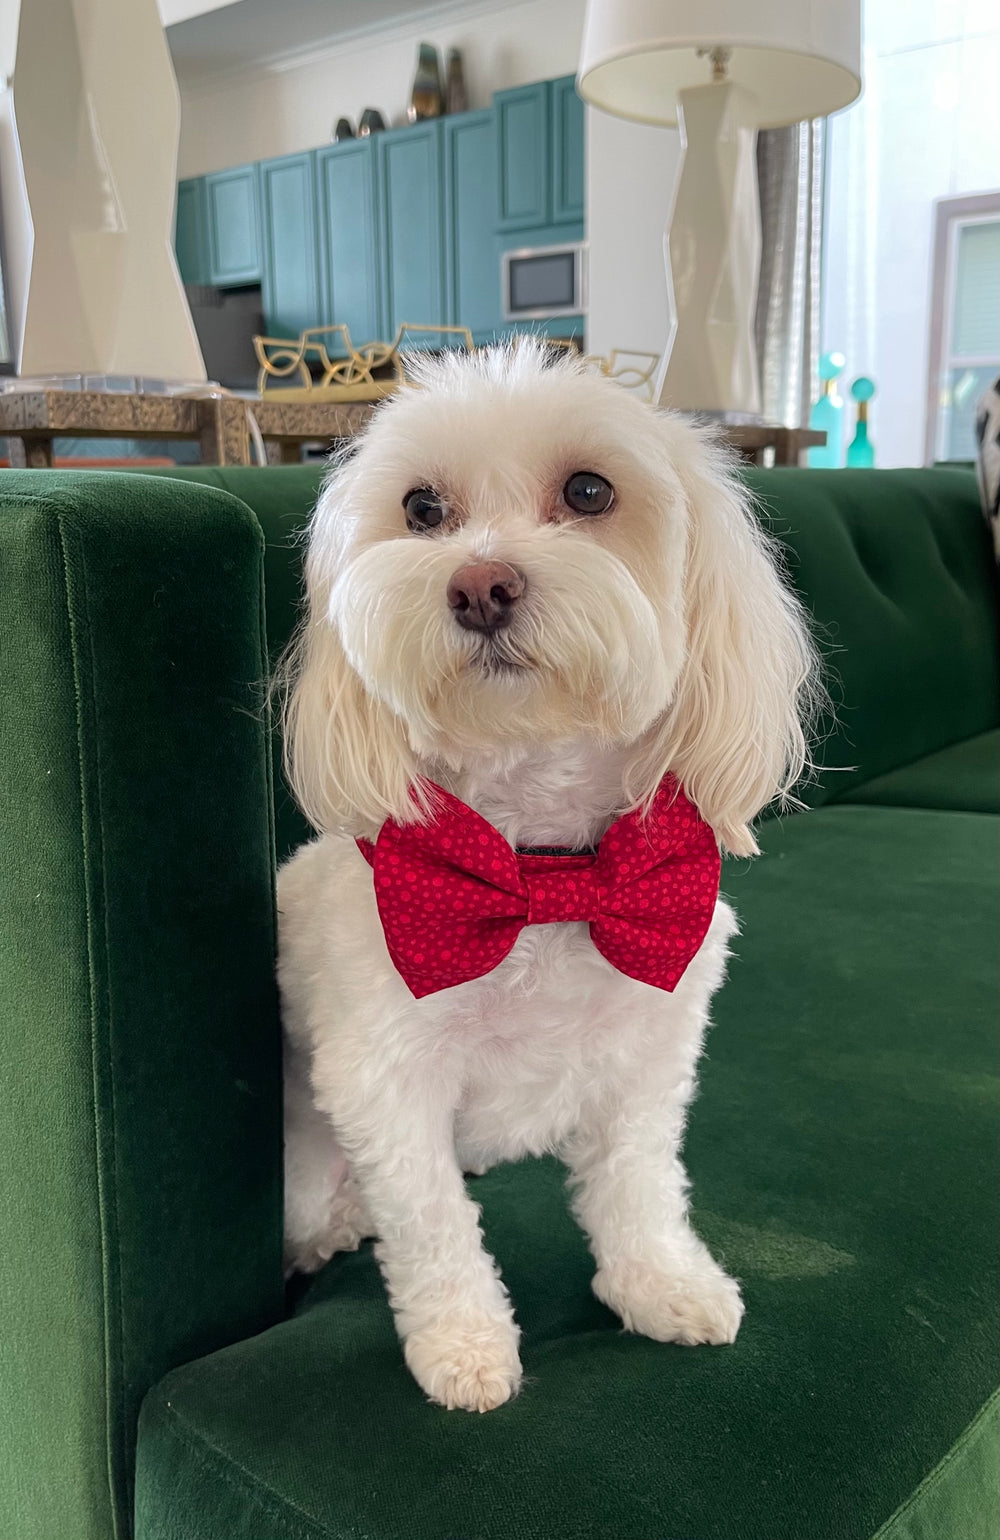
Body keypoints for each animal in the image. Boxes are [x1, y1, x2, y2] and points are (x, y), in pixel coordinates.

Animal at [277, 343, 813, 1410]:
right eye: (423, 508)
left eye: (589, 490)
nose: (480, 585)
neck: (543, 871)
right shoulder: (384, 1079)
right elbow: (434, 1226)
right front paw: (464, 1343)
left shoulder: (650, 1052)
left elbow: (640, 1182)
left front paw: (662, 1282)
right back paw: (331, 1222)